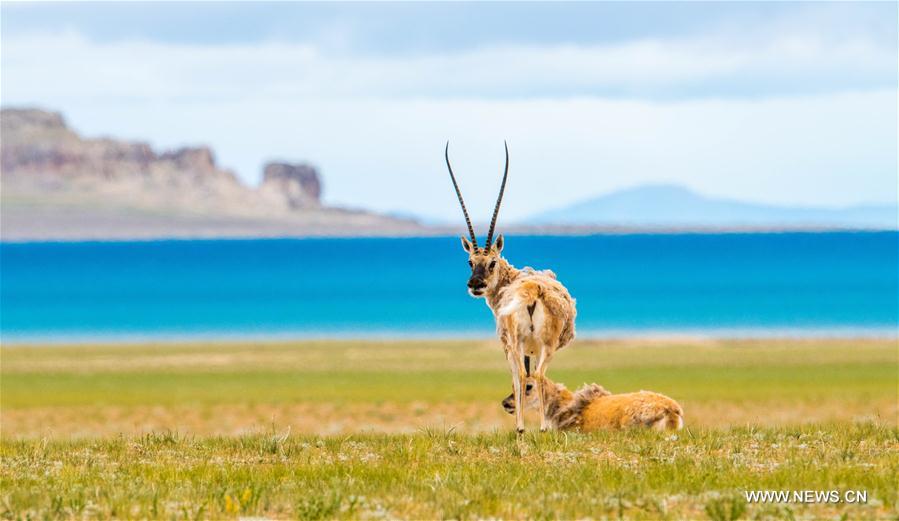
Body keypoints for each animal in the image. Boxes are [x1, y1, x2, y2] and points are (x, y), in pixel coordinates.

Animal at [446, 141, 580, 430]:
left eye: (492, 262)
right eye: (470, 261)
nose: (475, 284)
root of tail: (533, 290)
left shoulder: (508, 347)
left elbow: (520, 379)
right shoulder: (527, 348)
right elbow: (527, 377)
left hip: (520, 344)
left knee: (525, 374)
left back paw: (527, 427)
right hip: (540, 345)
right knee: (535, 374)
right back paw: (537, 426)